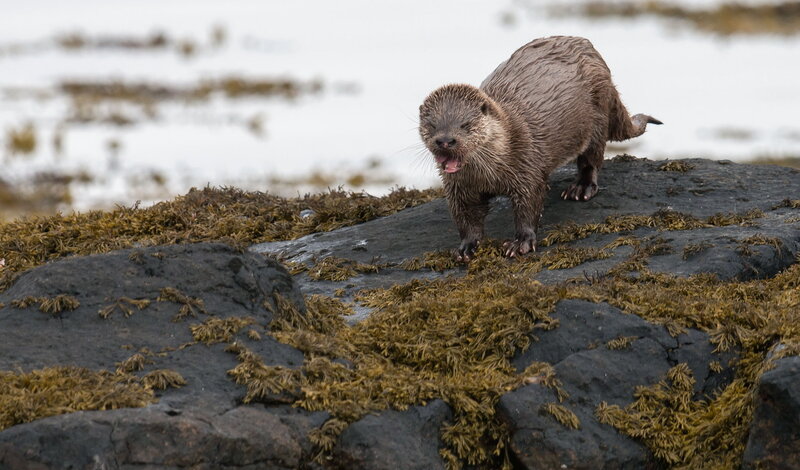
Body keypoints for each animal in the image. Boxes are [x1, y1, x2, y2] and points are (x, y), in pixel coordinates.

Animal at [419, 36, 661, 260]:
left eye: (465, 125)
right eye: (432, 125)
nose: (445, 141)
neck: (489, 174)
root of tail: (593, 52)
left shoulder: (527, 165)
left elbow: (529, 205)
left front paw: (521, 243)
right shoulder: (458, 188)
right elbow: (465, 218)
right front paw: (466, 247)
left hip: (598, 115)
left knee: (591, 159)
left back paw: (581, 188)